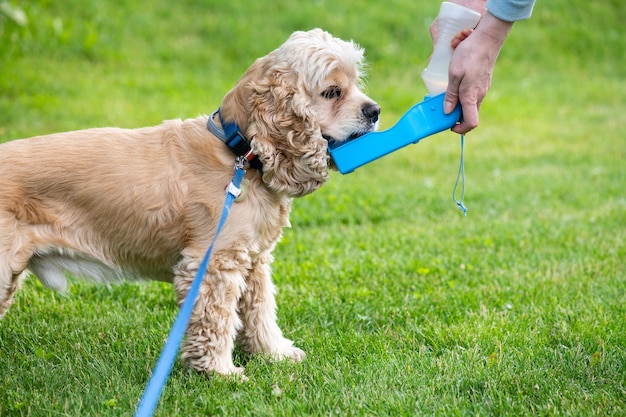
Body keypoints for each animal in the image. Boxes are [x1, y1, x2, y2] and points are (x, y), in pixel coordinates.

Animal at [0, 27, 380, 376]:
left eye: (355, 84)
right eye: (332, 92)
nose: (375, 110)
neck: (240, 155)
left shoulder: (252, 260)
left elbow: (260, 310)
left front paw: (274, 353)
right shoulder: (213, 264)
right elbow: (217, 322)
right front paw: (221, 372)